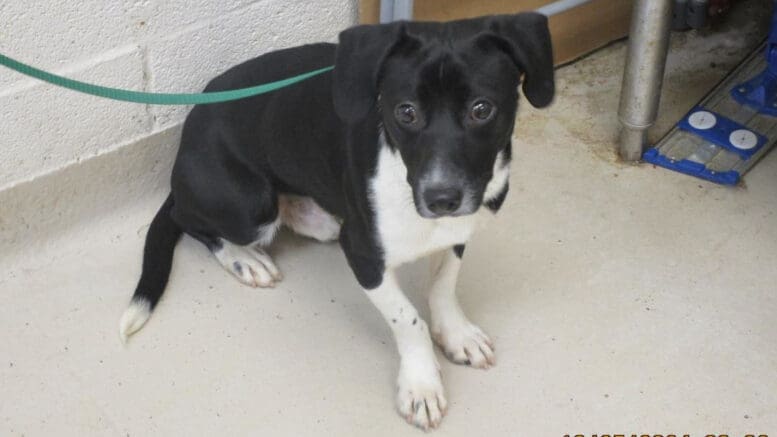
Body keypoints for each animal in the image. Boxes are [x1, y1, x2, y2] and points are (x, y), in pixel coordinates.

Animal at [119, 12, 552, 430]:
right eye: (406, 112)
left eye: (482, 109)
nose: (441, 198)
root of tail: (186, 139)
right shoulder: (363, 254)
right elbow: (408, 319)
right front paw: (421, 384)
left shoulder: (459, 229)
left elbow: (444, 285)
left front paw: (457, 334)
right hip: (248, 206)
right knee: (189, 217)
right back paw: (246, 259)